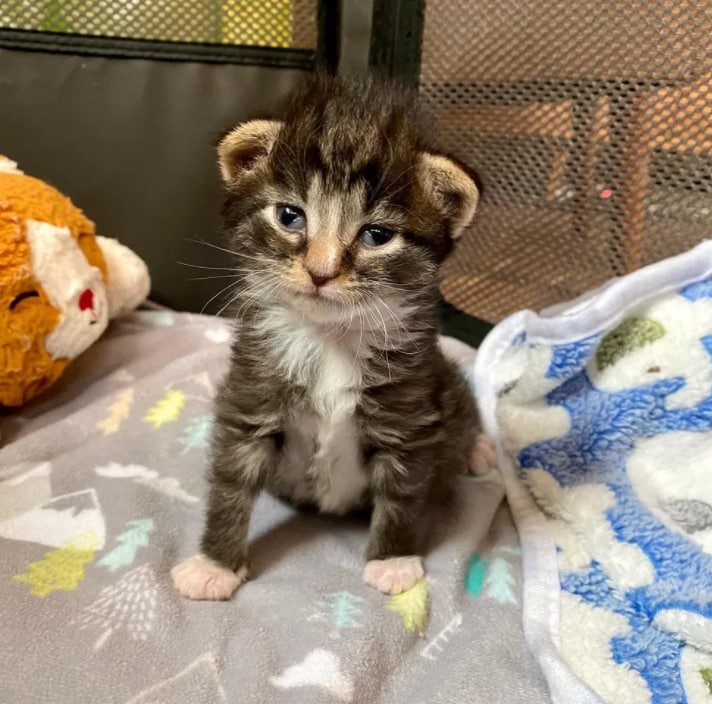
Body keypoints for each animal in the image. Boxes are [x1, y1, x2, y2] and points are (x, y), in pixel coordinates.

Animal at [173, 74, 496, 600]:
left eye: (377, 235)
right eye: (290, 216)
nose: (320, 272)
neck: (328, 340)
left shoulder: (408, 413)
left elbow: (403, 495)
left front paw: (392, 560)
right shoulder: (251, 397)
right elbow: (230, 484)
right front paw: (214, 564)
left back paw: (479, 448)